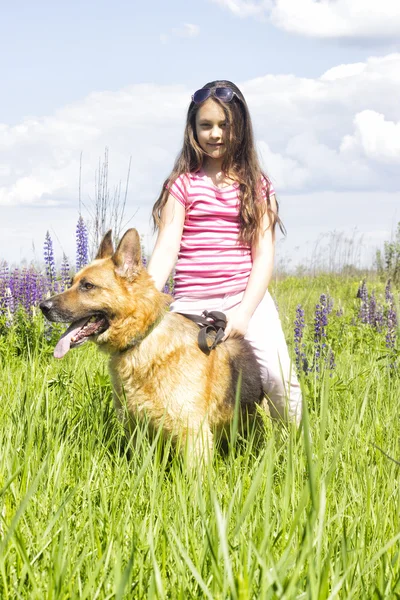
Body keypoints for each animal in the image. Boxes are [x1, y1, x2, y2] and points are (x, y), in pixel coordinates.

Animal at [39, 230, 266, 464]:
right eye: (71, 282)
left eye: (88, 286)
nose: (42, 306)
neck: (143, 338)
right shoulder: (137, 428)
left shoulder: (194, 434)